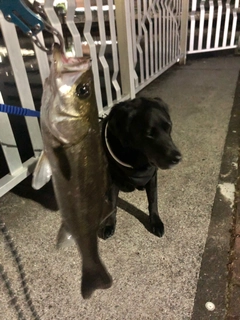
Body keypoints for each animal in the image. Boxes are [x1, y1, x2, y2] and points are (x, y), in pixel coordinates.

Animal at [98, 97, 181, 240]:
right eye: (149, 134)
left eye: (169, 127)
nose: (177, 157)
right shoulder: (113, 178)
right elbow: (112, 204)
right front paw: (109, 225)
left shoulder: (152, 176)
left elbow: (153, 200)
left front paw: (156, 222)